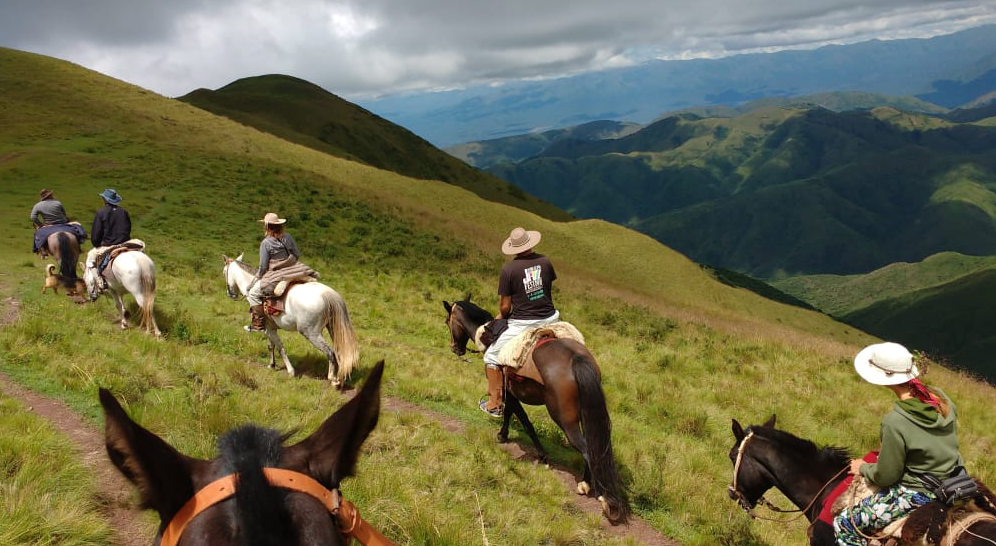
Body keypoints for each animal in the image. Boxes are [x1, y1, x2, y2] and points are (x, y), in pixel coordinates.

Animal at [222, 253, 358, 384]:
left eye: (224, 272)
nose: (230, 294)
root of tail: (328, 294)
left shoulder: (269, 329)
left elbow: (280, 348)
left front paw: (290, 371)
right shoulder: (270, 328)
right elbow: (271, 346)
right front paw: (272, 365)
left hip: (311, 333)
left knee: (330, 352)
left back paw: (332, 378)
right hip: (333, 328)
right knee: (339, 350)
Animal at [446, 298, 632, 524]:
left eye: (448, 321)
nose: (455, 348)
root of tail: (575, 359)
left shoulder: (509, 392)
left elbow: (521, 419)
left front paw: (530, 449)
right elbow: (514, 415)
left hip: (564, 419)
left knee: (587, 449)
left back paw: (594, 491)